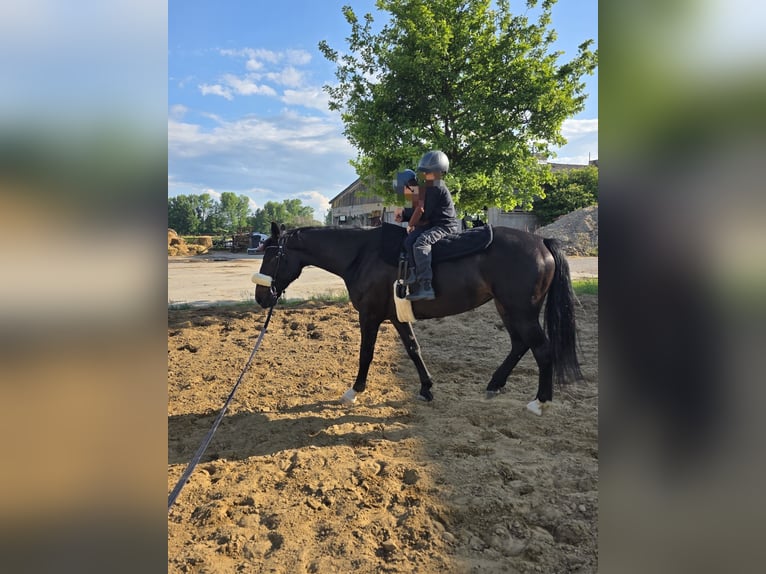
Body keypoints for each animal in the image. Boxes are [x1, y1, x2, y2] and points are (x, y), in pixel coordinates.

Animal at [253, 221, 582, 415]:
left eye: (271, 255)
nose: (260, 297)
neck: (362, 254)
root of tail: (542, 242)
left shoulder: (370, 316)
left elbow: (366, 353)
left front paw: (354, 391)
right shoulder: (397, 316)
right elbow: (413, 349)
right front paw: (426, 388)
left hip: (521, 311)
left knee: (541, 350)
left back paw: (540, 402)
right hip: (508, 309)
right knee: (519, 345)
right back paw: (494, 384)